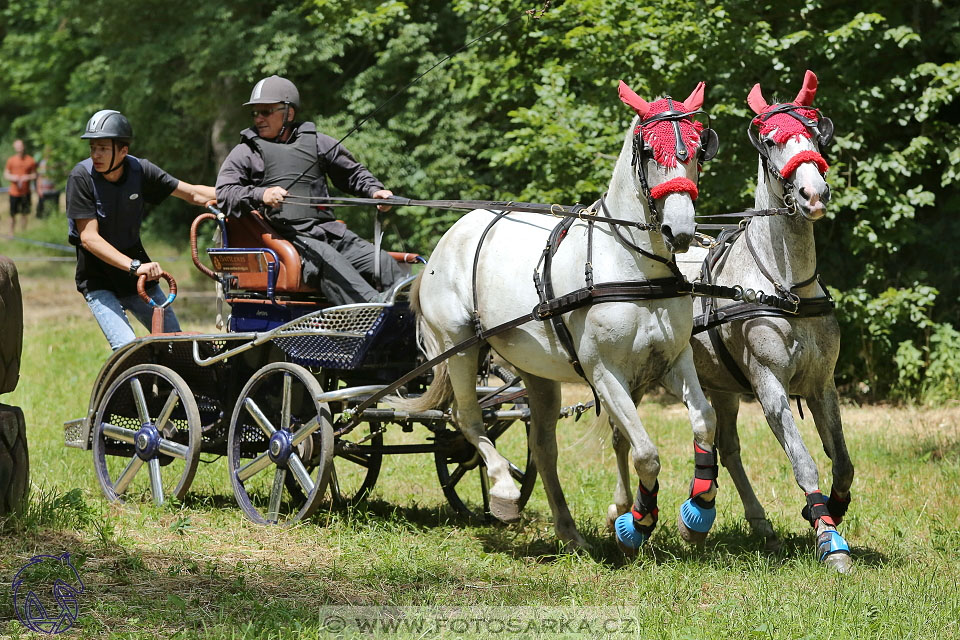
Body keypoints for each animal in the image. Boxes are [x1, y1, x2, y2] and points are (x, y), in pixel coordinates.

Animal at [398, 80, 720, 552]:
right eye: (647, 151)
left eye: (697, 150)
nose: (678, 232)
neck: (634, 267)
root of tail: (445, 243)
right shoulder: (604, 371)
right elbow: (645, 452)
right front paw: (637, 521)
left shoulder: (672, 361)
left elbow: (703, 424)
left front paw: (697, 509)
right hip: (458, 348)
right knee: (467, 418)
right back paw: (503, 491)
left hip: (537, 373)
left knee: (543, 446)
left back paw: (568, 531)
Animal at [668, 69, 856, 568]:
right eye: (771, 141)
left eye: (814, 133)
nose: (813, 193)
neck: (787, 287)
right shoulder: (770, 386)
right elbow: (805, 462)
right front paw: (830, 541)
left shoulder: (822, 385)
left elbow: (842, 463)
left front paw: (830, 509)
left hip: (721, 386)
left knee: (729, 450)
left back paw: (758, 525)